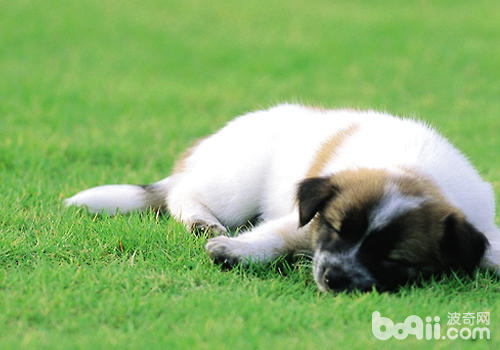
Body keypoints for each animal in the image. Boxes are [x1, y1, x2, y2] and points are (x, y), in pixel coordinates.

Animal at [66, 103, 500, 292]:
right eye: (337, 230)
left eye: (394, 260)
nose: (332, 278)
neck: (418, 172)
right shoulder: (307, 218)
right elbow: (274, 235)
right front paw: (234, 251)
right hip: (235, 186)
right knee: (183, 193)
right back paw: (201, 220)